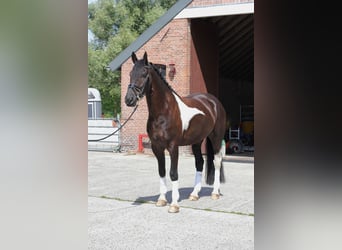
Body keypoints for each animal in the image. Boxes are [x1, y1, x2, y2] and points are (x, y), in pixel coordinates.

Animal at [124, 51, 226, 212]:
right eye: (130, 73)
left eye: (144, 73)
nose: (129, 99)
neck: (164, 111)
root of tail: (213, 102)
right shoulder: (156, 147)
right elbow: (162, 171)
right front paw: (161, 200)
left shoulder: (173, 146)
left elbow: (173, 173)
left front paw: (174, 204)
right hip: (197, 141)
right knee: (200, 163)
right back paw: (194, 194)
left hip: (216, 138)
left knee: (217, 161)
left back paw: (215, 193)